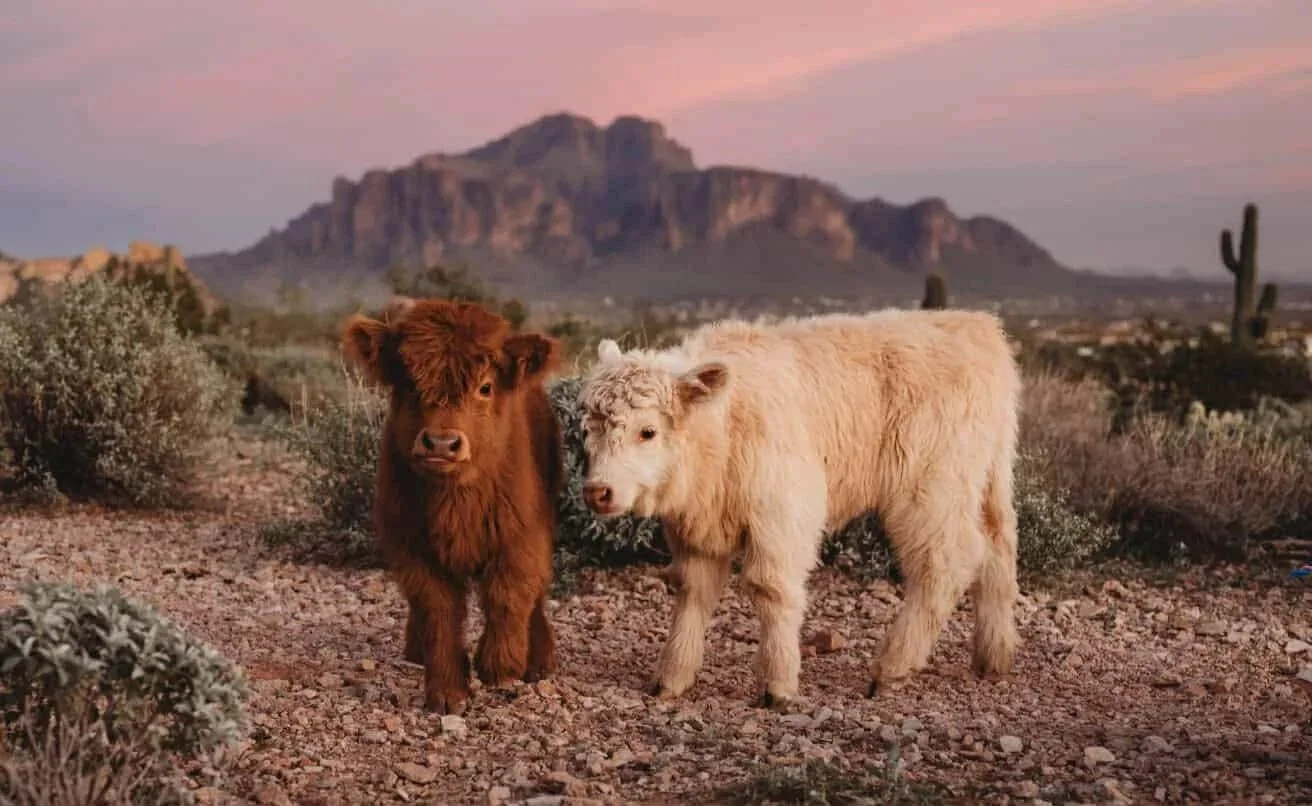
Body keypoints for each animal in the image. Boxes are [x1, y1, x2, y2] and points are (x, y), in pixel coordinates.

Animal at [341, 299, 564, 715]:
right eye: (408, 384)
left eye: (485, 387)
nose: (441, 443)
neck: (455, 502)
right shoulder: (414, 551)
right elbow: (438, 612)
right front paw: (447, 692)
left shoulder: (522, 537)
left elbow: (510, 594)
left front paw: (499, 665)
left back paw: (539, 660)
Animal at [576, 308, 1022, 707]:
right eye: (588, 429)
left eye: (648, 431)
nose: (598, 491)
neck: (722, 425)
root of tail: (979, 327)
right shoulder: (696, 532)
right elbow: (692, 593)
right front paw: (671, 678)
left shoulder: (779, 515)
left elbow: (770, 589)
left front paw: (777, 685)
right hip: (988, 482)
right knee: (998, 550)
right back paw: (993, 656)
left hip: (929, 490)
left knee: (947, 562)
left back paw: (891, 668)